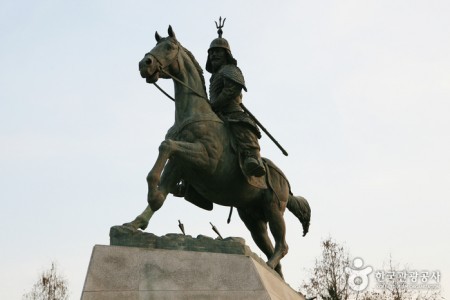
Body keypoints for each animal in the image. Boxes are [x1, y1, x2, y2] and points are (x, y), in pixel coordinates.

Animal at [125, 25, 312, 276]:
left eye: (169, 46)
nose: (145, 64)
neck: (192, 113)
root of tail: (287, 185)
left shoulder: (204, 159)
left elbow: (166, 146)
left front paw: (150, 190)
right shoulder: (179, 164)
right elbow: (160, 195)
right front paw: (134, 224)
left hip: (274, 209)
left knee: (282, 245)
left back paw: (268, 266)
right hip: (253, 219)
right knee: (270, 247)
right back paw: (274, 272)